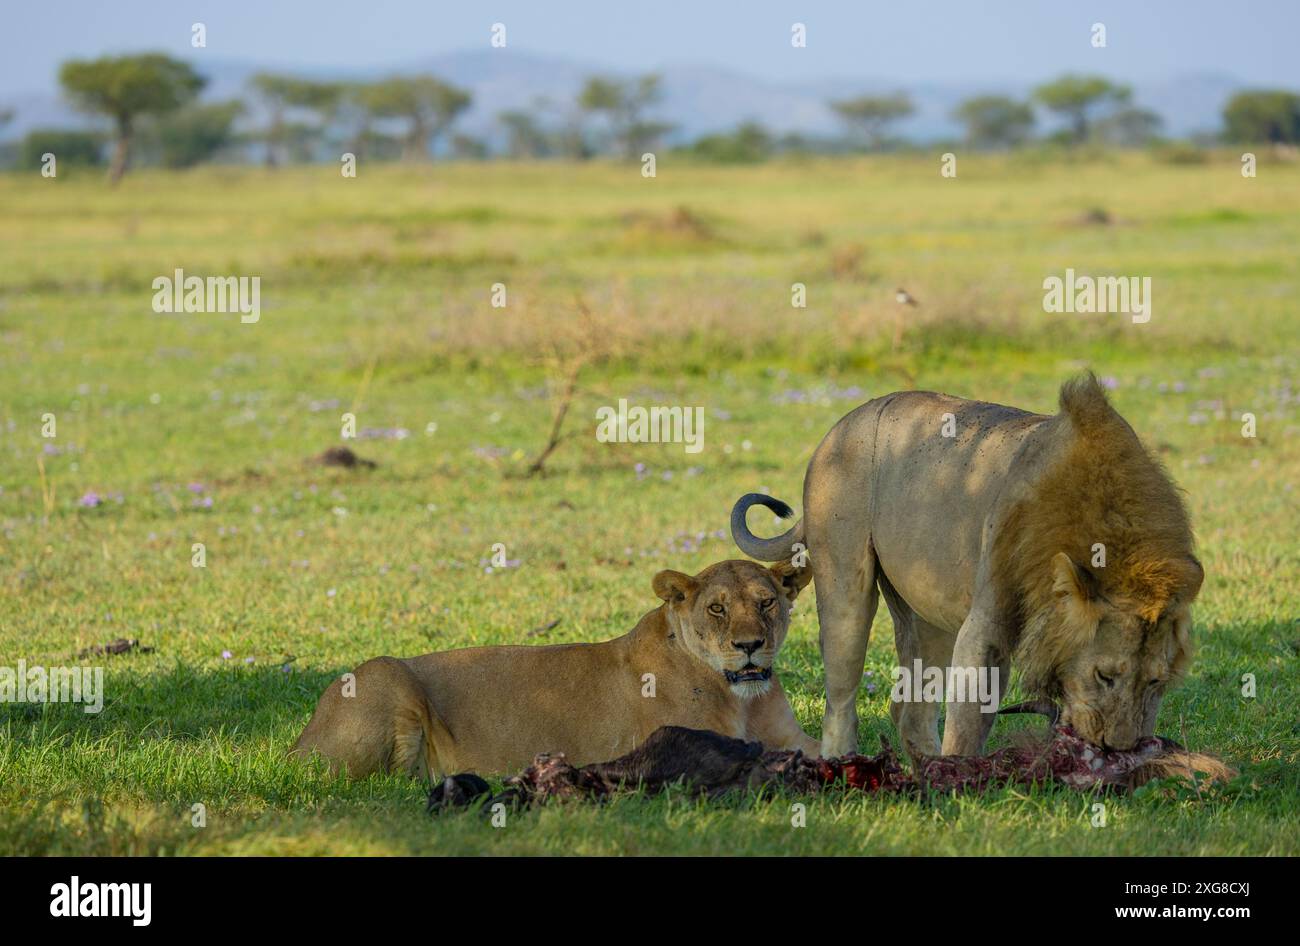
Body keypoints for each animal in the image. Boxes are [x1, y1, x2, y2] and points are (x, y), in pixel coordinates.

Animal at [297, 561, 821, 774]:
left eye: (767, 602)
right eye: (716, 608)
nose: (750, 646)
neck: (742, 698)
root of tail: (299, 741)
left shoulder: (791, 736)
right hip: (386, 673)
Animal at [738, 374, 1201, 758]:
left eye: (1156, 682)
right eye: (1105, 675)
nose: (1118, 747)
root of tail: (844, 421)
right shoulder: (988, 622)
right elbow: (969, 714)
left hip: (927, 611)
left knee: (909, 709)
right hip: (845, 586)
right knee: (841, 700)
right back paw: (843, 765)